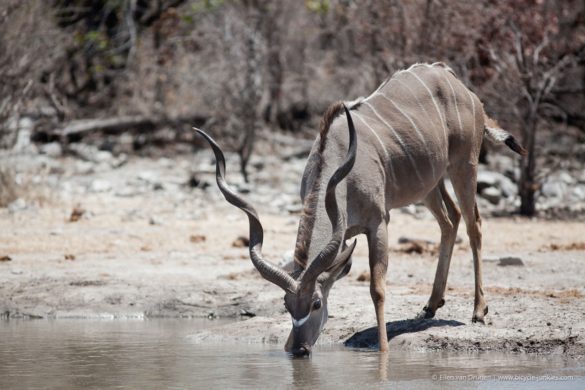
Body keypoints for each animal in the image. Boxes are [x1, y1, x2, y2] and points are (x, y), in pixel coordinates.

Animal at [195, 61, 524, 356]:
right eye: (286, 305)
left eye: (316, 303)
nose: (298, 348)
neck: (338, 165)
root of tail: (457, 82)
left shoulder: (378, 222)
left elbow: (377, 288)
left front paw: (382, 350)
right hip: (429, 184)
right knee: (449, 220)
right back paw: (431, 305)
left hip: (463, 166)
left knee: (473, 224)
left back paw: (478, 311)